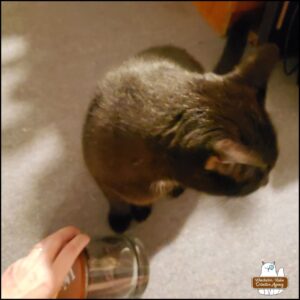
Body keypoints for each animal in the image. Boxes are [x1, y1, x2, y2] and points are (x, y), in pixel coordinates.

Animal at [82, 44, 278, 232]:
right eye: (260, 176)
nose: (267, 181)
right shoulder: (101, 180)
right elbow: (117, 201)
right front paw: (121, 217)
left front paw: (141, 209)